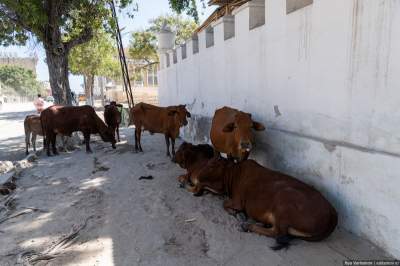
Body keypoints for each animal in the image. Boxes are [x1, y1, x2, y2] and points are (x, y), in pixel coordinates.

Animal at [184, 157, 338, 250]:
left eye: (212, 165)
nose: (195, 177)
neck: (233, 175)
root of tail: (333, 212)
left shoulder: (238, 201)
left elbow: (225, 204)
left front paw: (238, 214)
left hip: (284, 204)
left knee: (278, 233)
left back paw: (249, 226)